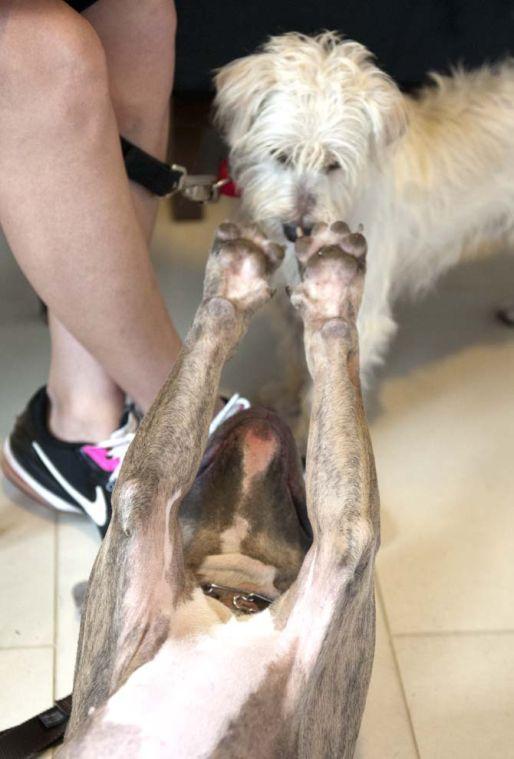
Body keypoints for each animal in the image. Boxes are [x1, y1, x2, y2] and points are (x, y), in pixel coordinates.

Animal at [60, 221, 378, 759]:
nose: (255, 412)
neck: (233, 601)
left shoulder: (341, 554)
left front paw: (322, 287)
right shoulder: (144, 509)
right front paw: (251, 281)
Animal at [213, 31, 514, 378]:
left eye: (333, 164)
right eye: (282, 155)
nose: (295, 230)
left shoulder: (360, 317)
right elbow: (296, 362)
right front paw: (281, 394)